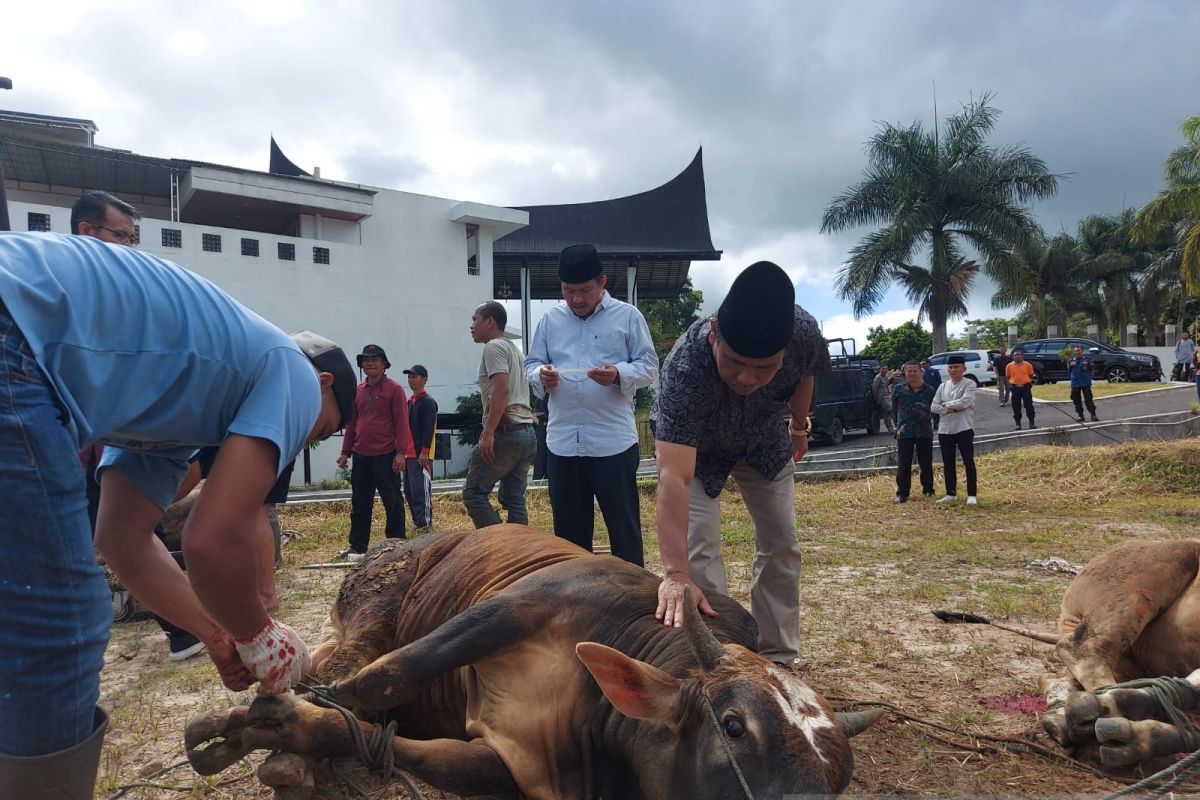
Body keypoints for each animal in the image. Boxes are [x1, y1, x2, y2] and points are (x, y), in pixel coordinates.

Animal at [187, 525, 883, 800]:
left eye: (840, 780)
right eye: (733, 727)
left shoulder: (515, 762)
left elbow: (390, 741)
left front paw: (285, 731)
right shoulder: (509, 609)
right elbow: (389, 676)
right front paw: (243, 728)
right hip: (377, 603)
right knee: (351, 663)